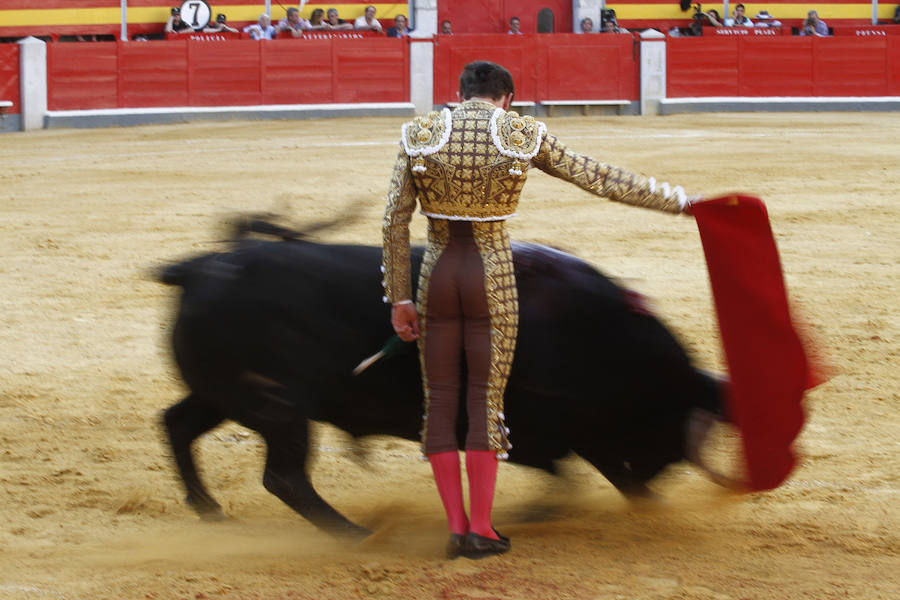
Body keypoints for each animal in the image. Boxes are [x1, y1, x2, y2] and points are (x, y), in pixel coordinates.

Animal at [160, 231, 724, 540]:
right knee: (285, 478)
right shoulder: (535, 426)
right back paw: (359, 535)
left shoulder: (570, 430)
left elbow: (586, 468)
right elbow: (569, 470)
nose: (657, 475)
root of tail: (201, 270)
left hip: (225, 394)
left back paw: (209, 509)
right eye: (670, 424)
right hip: (282, 407)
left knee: (177, 422)